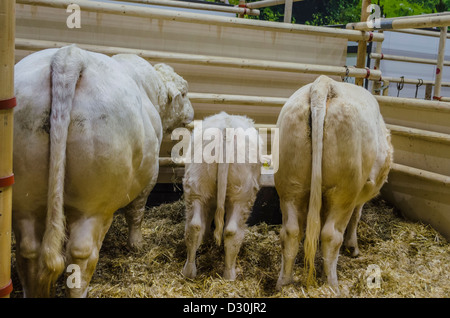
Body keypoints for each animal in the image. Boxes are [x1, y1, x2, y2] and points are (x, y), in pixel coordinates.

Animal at [12, 43, 193, 296]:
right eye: (184, 93)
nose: (192, 112)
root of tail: (68, 57)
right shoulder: (149, 178)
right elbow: (136, 212)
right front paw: (136, 244)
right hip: (93, 205)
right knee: (81, 254)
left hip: (24, 201)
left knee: (29, 250)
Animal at [182, 112, 262, 280]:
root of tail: (226, 127)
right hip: (242, 194)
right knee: (232, 231)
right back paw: (230, 274)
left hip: (197, 185)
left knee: (194, 226)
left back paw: (189, 271)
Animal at [272, 74, 392, 294]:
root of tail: (324, 83)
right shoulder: (359, 196)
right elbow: (356, 216)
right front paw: (353, 247)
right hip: (344, 191)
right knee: (331, 235)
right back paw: (332, 285)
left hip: (290, 187)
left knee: (291, 232)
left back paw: (284, 283)